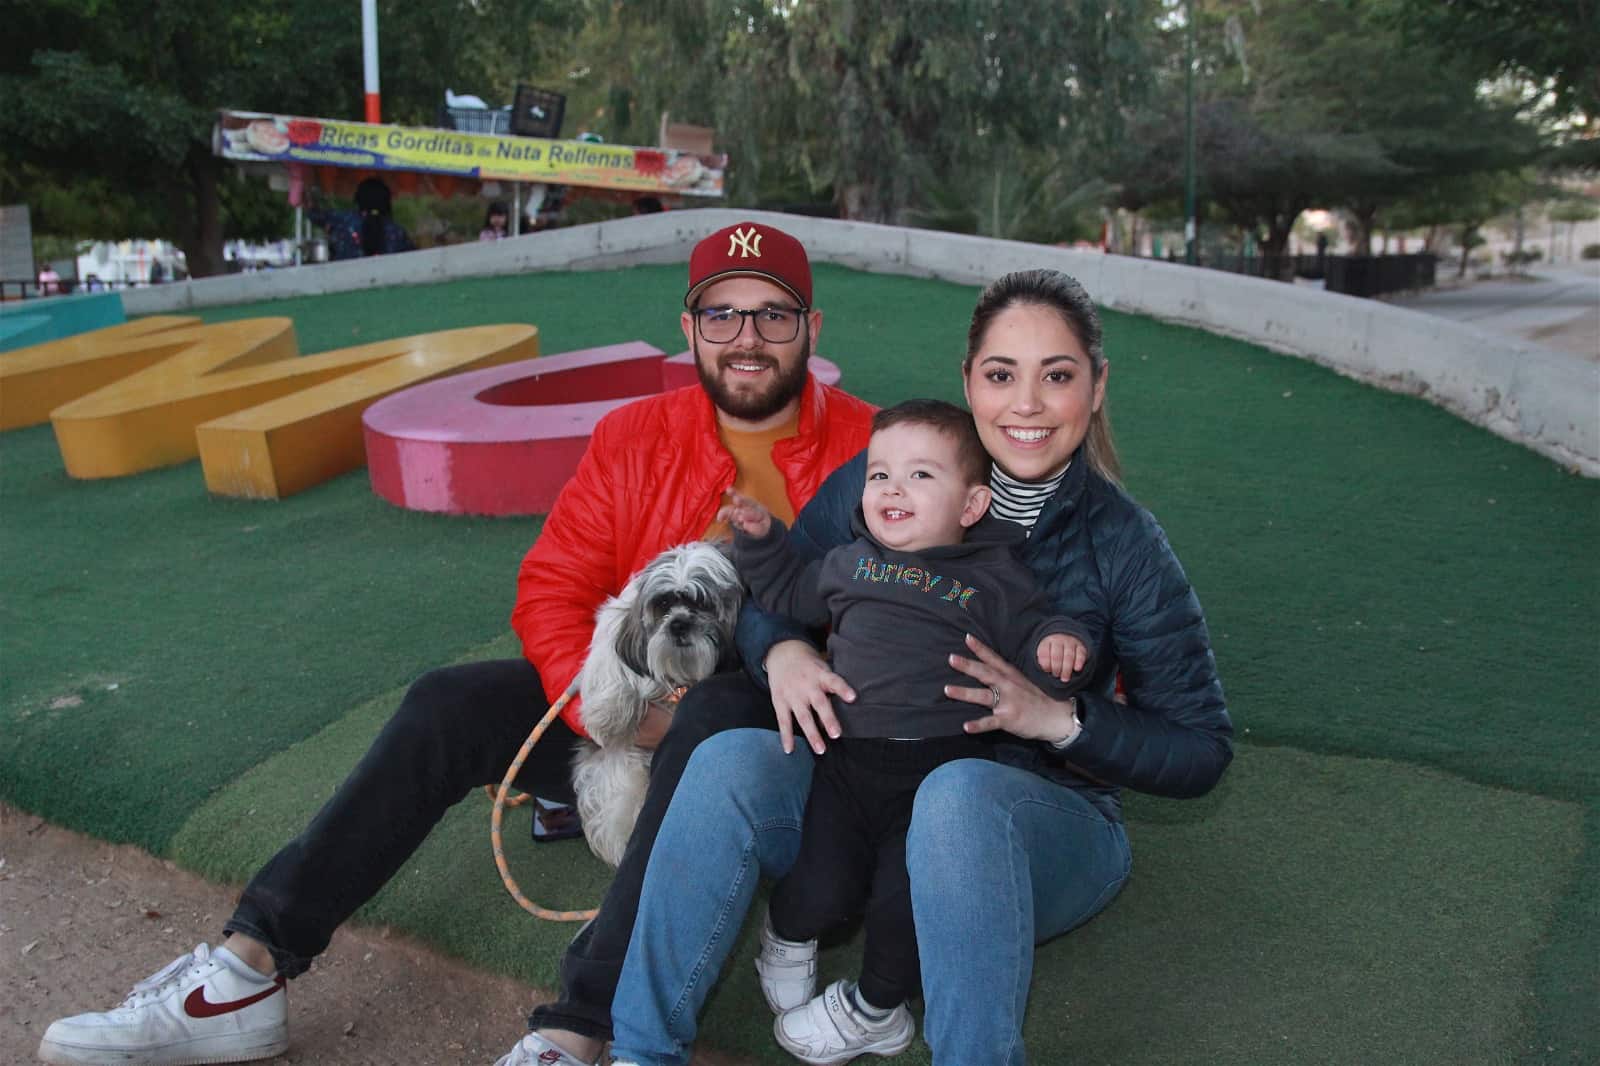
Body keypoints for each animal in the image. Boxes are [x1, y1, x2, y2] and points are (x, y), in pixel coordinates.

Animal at [576, 541, 742, 864]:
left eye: (703, 604)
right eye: (663, 604)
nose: (678, 624)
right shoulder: (619, 623)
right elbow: (610, 658)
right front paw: (608, 713)